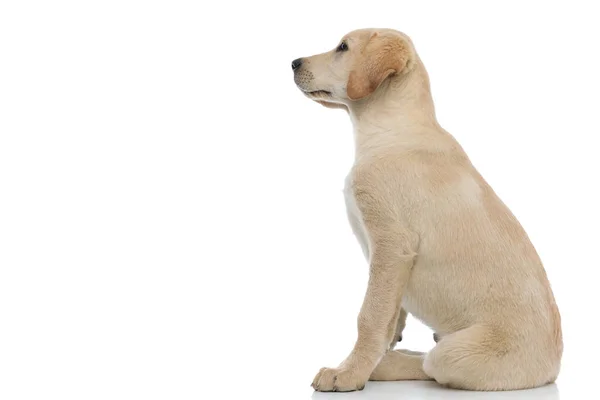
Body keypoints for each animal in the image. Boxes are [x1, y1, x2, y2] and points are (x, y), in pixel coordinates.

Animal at [292, 29, 564, 392]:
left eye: (343, 48)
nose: (294, 63)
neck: (393, 131)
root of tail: (554, 367)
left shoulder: (392, 247)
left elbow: (369, 317)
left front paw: (349, 372)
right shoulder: (390, 263)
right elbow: (389, 319)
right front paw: (370, 357)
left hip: (457, 352)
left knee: (431, 364)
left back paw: (386, 366)